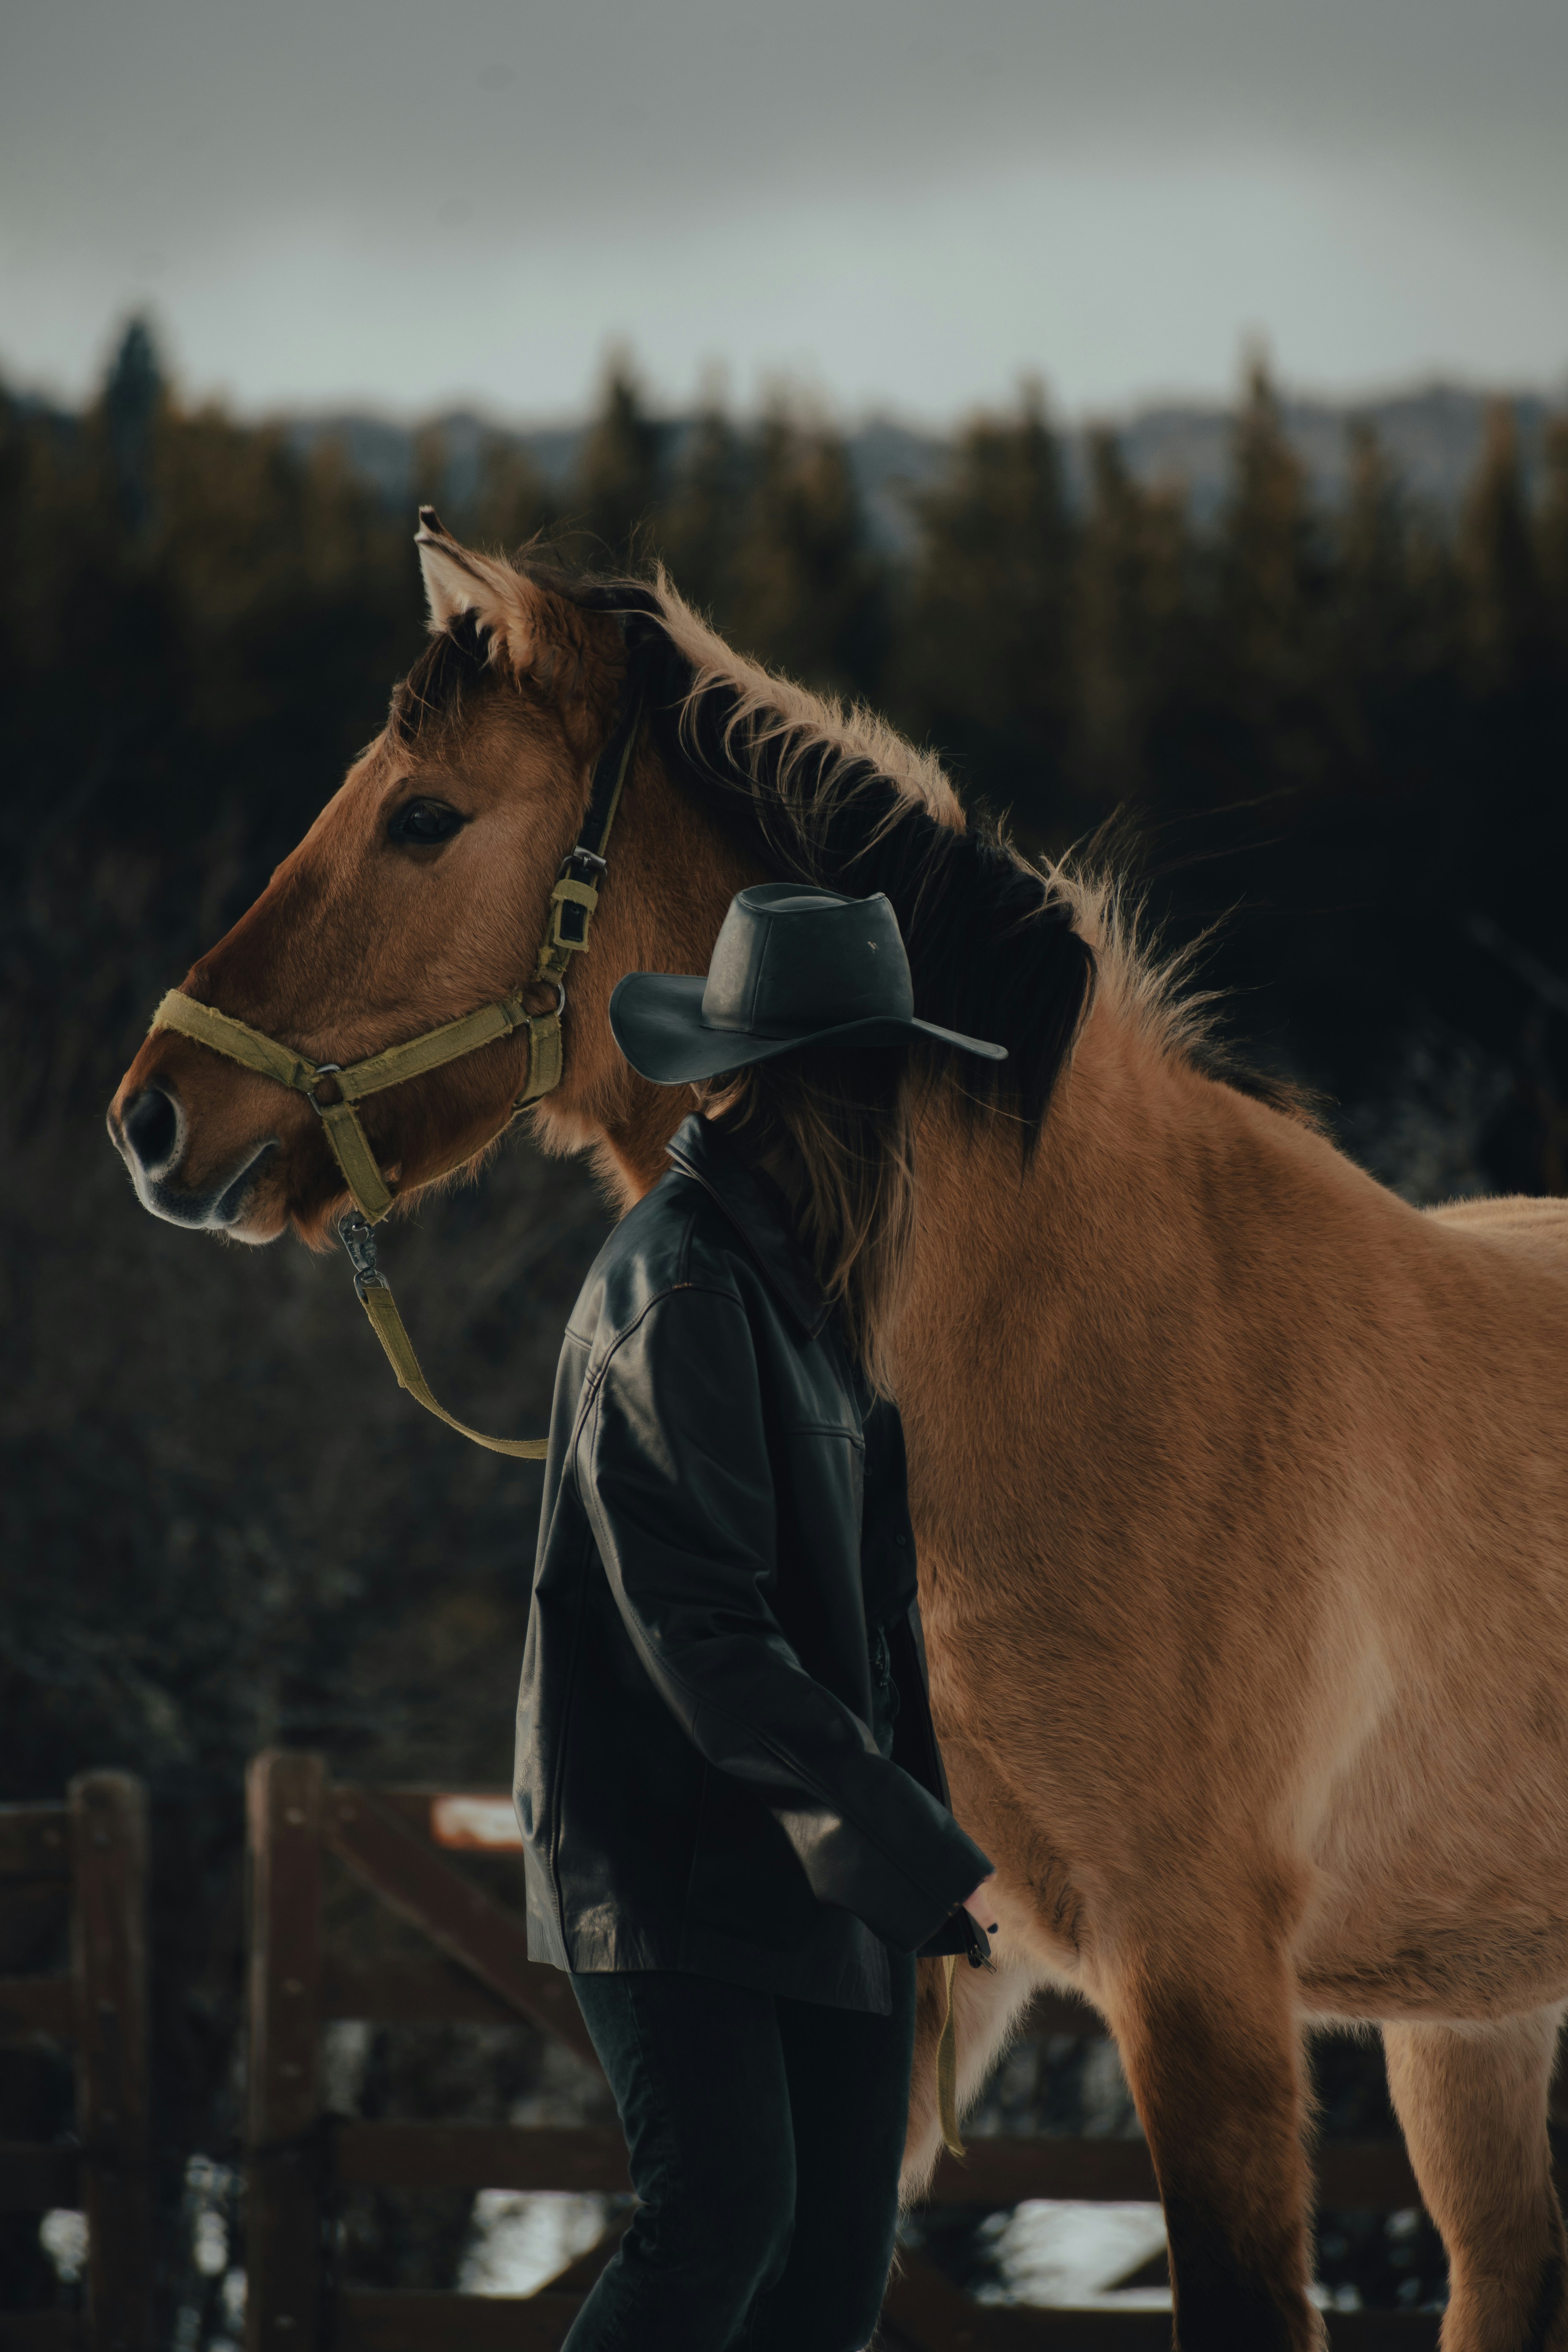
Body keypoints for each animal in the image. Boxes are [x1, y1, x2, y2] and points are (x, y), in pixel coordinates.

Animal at [109, 514, 1568, 2352]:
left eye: (423, 817)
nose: (153, 1118)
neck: (1090, 1340)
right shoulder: (934, 1969)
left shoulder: (1202, 1979)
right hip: (1471, 2020)